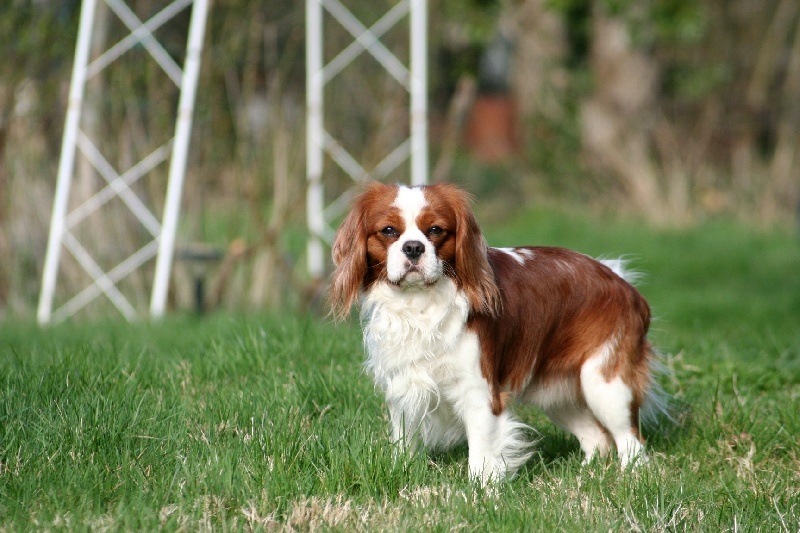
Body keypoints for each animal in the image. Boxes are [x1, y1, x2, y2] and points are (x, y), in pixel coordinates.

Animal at [330, 182, 664, 482]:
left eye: (436, 230)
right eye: (388, 231)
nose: (414, 248)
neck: (420, 304)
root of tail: (623, 284)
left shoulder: (479, 393)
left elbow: (480, 454)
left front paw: (479, 495)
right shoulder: (403, 386)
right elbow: (404, 442)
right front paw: (402, 473)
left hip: (605, 384)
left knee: (631, 443)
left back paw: (629, 479)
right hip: (558, 394)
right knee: (597, 439)